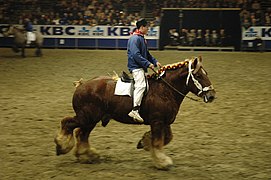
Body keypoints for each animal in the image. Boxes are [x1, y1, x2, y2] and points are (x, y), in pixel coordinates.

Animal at [54, 56, 217, 170]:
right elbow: (158, 142)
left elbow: (167, 138)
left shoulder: (164, 122)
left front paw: (144, 141)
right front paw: (162, 162)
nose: (212, 95)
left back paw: (86, 155)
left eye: (206, 74)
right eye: (199, 76)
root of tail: (82, 86)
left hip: (91, 120)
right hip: (86, 117)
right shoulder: (157, 122)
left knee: (82, 134)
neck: (165, 90)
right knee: (67, 123)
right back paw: (62, 145)